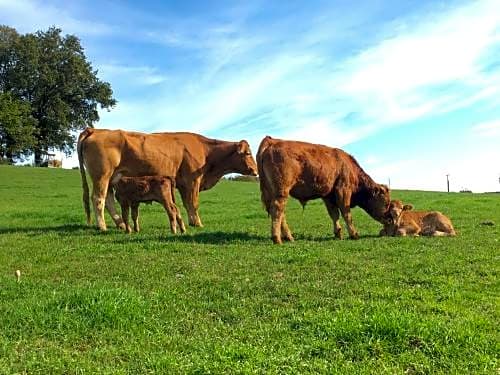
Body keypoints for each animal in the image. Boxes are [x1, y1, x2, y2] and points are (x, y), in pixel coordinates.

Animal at [79, 128, 258, 231]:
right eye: (248, 153)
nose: (255, 171)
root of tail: (95, 130)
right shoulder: (192, 181)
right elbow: (193, 203)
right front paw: (198, 223)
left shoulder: (183, 184)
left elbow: (186, 204)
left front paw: (191, 222)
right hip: (102, 175)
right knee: (98, 199)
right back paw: (102, 226)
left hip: (111, 178)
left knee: (108, 199)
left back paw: (121, 224)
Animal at [258, 137, 390, 245]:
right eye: (386, 203)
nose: (389, 219)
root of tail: (272, 141)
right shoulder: (343, 190)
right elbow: (346, 213)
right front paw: (354, 234)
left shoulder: (328, 196)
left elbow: (334, 214)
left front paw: (338, 234)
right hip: (281, 191)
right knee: (277, 210)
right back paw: (277, 239)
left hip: (273, 192)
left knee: (280, 213)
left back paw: (289, 237)